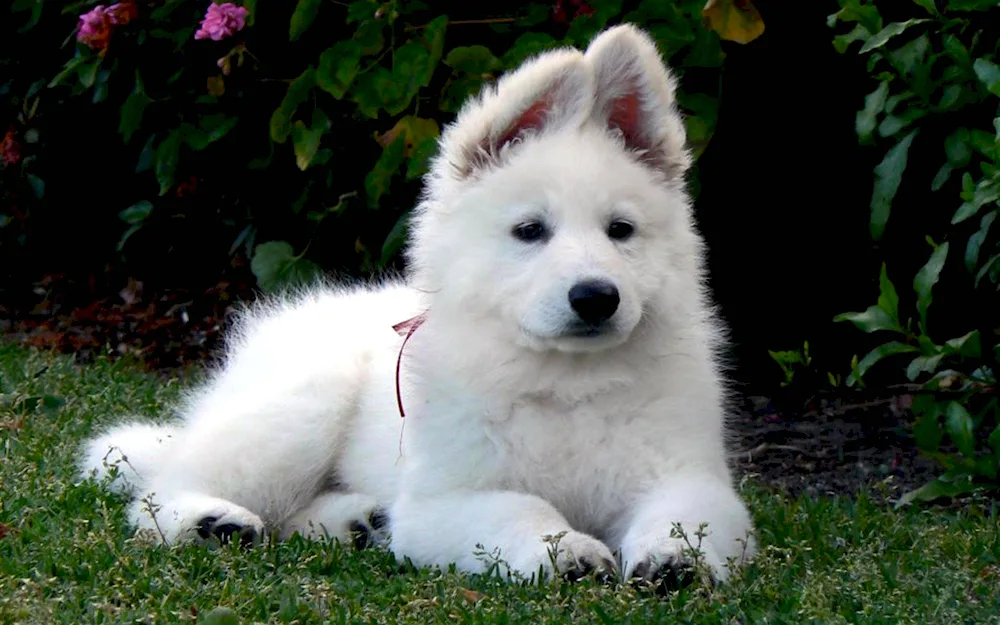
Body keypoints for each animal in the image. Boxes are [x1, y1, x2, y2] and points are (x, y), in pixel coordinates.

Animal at [78, 24, 752, 588]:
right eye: (530, 231)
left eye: (621, 231)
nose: (596, 297)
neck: (565, 380)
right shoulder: (444, 501)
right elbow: (522, 508)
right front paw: (567, 552)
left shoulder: (689, 476)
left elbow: (684, 515)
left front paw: (674, 558)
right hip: (303, 406)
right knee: (164, 489)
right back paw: (211, 521)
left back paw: (356, 521)